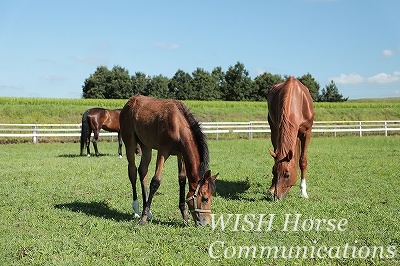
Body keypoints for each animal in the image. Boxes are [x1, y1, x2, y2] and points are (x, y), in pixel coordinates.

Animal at [119, 94, 219, 225]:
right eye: (205, 198)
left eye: (211, 197)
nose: (206, 223)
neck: (177, 124)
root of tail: (130, 101)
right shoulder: (163, 152)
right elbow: (155, 182)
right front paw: (143, 218)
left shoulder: (181, 154)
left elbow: (182, 179)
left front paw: (185, 215)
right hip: (130, 143)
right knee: (133, 171)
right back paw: (136, 210)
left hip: (146, 146)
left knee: (143, 171)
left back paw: (147, 209)